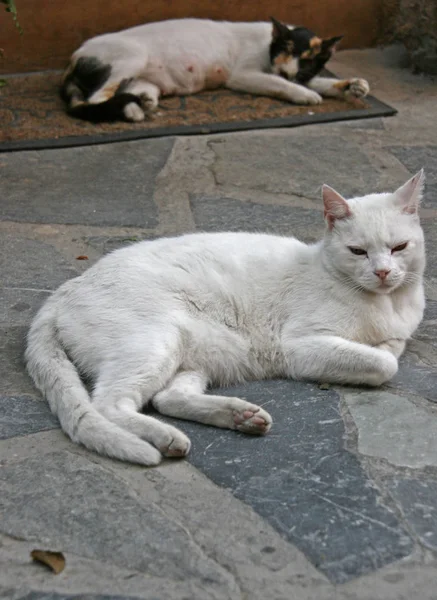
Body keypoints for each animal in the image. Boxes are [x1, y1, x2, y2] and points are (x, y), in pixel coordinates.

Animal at [25, 171, 424, 466]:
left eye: (399, 248)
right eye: (358, 252)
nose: (383, 272)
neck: (387, 305)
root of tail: (65, 289)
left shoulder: (397, 332)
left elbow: (390, 348)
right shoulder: (301, 345)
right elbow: (384, 363)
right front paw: (374, 356)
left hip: (196, 356)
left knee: (166, 398)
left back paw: (241, 417)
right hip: (155, 343)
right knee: (108, 404)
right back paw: (167, 439)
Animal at [60, 16, 368, 122]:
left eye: (307, 59)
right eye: (287, 50)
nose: (288, 70)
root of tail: (73, 58)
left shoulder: (300, 73)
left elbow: (316, 81)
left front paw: (352, 85)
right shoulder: (244, 75)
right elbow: (281, 84)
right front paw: (304, 94)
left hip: (145, 78)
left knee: (128, 93)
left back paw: (140, 106)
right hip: (132, 56)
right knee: (95, 99)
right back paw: (132, 109)